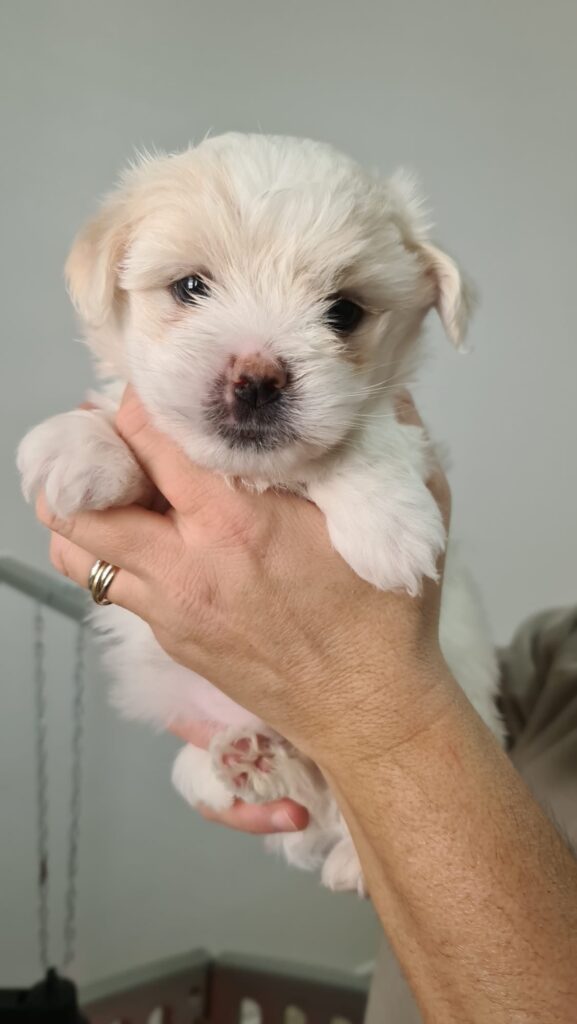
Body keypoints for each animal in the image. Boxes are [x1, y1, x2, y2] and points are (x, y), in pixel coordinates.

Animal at [18, 134, 504, 888]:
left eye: (343, 312)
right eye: (190, 287)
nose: (257, 379)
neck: (251, 477)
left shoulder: (389, 419)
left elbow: (360, 436)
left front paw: (389, 528)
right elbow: (120, 416)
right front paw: (79, 446)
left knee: (333, 817)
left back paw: (346, 858)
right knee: (242, 788)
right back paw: (250, 759)